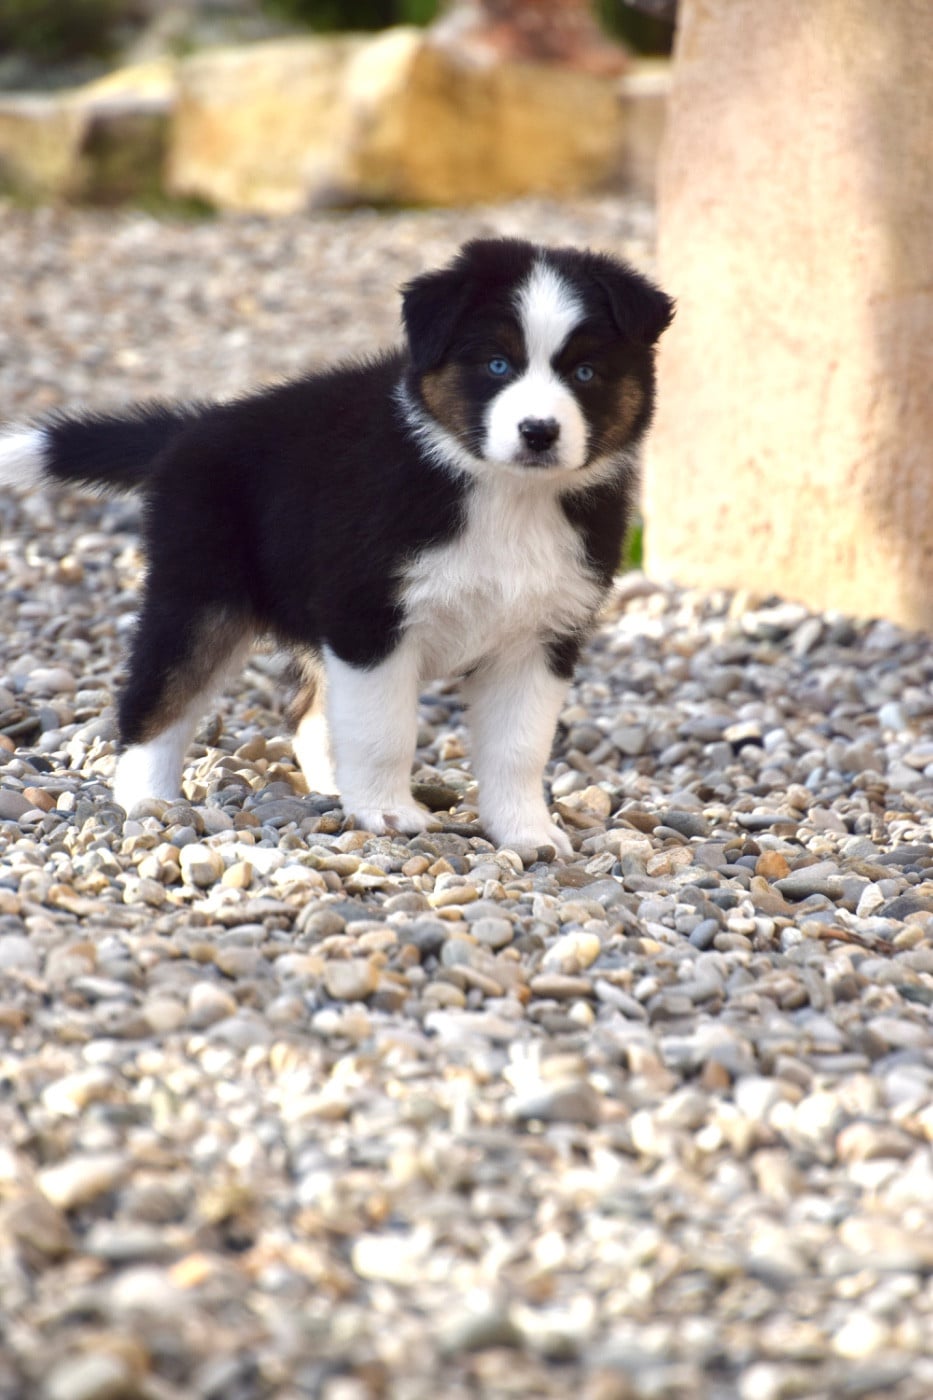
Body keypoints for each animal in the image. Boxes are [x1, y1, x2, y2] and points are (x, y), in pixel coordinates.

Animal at [0, 237, 673, 857]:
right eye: (497, 366)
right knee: (159, 696)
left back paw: (330, 786)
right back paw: (148, 802)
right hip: (197, 592)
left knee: (306, 713)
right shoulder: (369, 616)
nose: (538, 432)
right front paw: (387, 812)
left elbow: (519, 748)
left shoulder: (541, 635)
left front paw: (527, 834)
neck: (506, 495)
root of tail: (195, 428)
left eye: (585, 373)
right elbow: (384, 729)